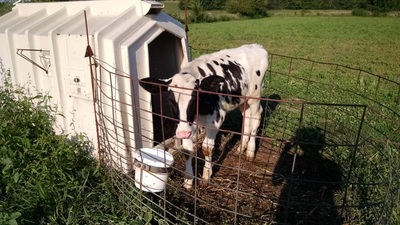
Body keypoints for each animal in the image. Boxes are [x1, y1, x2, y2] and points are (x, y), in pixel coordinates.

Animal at [141, 43, 268, 189]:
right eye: (171, 101)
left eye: (195, 99)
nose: (183, 133)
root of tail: (255, 46)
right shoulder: (188, 125)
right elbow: (187, 151)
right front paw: (188, 180)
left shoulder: (215, 121)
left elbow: (207, 148)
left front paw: (206, 176)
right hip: (243, 98)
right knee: (246, 118)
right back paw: (242, 147)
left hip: (255, 96)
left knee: (256, 117)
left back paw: (250, 151)